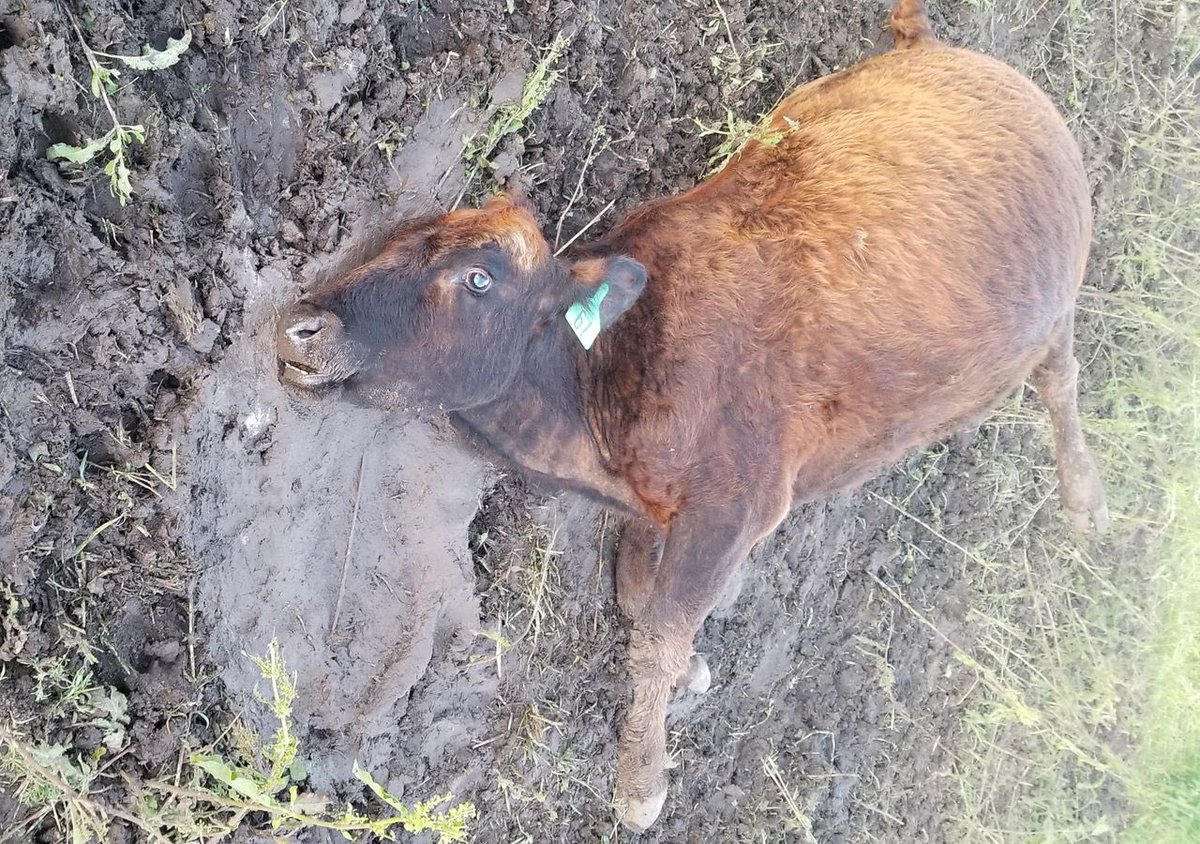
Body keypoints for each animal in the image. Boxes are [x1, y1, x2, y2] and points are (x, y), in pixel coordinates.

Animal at [274, 0, 1107, 831]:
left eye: (479, 278)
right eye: (387, 242)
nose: (299, 326)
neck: (596, 396)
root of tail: (933, 51)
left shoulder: (735, 509)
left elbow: (660, 632)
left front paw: (641, 779)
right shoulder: (652, 511)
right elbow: (639, 599)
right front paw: (690, 672)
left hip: (1057, 307)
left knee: (1061, 379)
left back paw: (1083, 496)